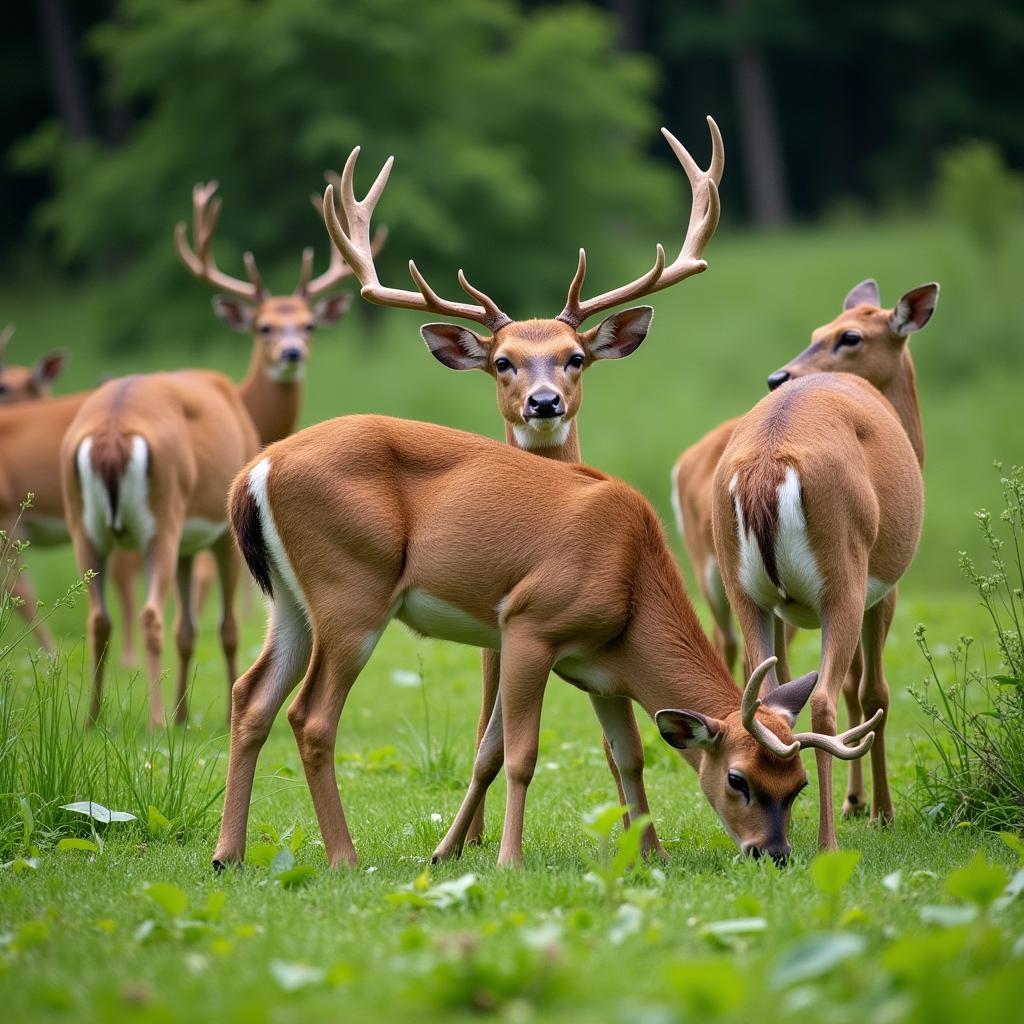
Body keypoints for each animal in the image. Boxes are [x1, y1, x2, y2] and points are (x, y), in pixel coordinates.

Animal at [211, 411, 876, 868]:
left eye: (798, 785)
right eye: (738, 779)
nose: (774, 853)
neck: (632, 577)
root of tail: (253, 474)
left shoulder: (601, 675)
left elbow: (615, 756)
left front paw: (651, 853)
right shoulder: (529, 625)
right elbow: (519, 755)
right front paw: (509, 859)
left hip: (290, 604)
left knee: (252, 696)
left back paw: (228, 854)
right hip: (351, 596)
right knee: (311, 715)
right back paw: (344, 858)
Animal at [712, 278, 937, 847]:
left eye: (846, 336)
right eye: (827, 333)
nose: (779, 376)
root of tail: (766, 465)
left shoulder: (786, 606)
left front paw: (857, 801)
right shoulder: (885, 588)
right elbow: (871, 690)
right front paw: (878, 811)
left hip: (745, 588)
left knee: (765, 697)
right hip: (844, 573)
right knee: (826, 702)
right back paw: (828, 841)